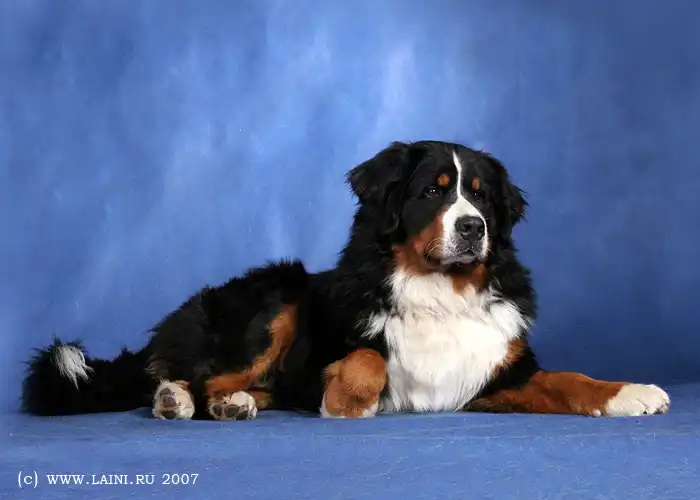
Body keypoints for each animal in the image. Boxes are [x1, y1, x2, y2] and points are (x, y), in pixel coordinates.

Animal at [22, 141, 670, 420]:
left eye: (482, 196)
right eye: (433, 190)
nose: (473, 227)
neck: (440, 289)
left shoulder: (495, 373)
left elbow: (569, 380)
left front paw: (630, 393)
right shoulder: (332, 348)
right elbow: (367, 358)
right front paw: (347, 400)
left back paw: (236, 404)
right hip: (276, 303)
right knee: (199, 376)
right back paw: (177, 399)